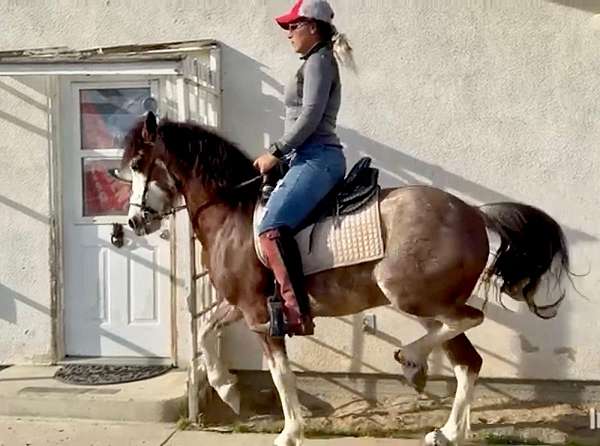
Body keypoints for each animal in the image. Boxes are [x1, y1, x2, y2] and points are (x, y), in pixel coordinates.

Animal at [119, 112, 568, 446]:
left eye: (138, 164)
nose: (134, 222)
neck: (234, 212)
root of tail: (475, 213)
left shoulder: (259, 314)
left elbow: (280, 373)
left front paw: (290, 432)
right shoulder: (240, 304)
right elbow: (207, 331)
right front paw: (226, 388)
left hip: (412, 296)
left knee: (468, 322)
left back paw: (412, 362)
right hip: (427, 306)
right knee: (467, 362)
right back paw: (448, 431)